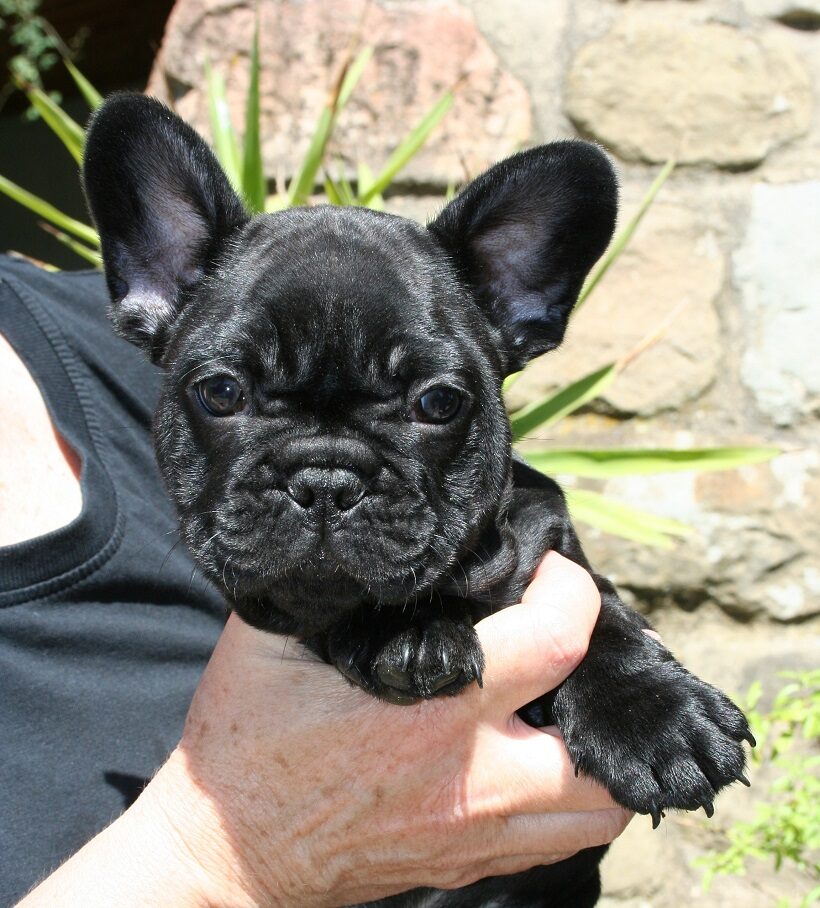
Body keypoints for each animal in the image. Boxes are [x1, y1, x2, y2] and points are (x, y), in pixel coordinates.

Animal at [83, 94, 756, 908]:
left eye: (438, 402)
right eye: (220, 392)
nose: (326, 476)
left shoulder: (552, 545)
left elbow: (607, 616)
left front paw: (659, 719)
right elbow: (333, 603)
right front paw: (400, 635)